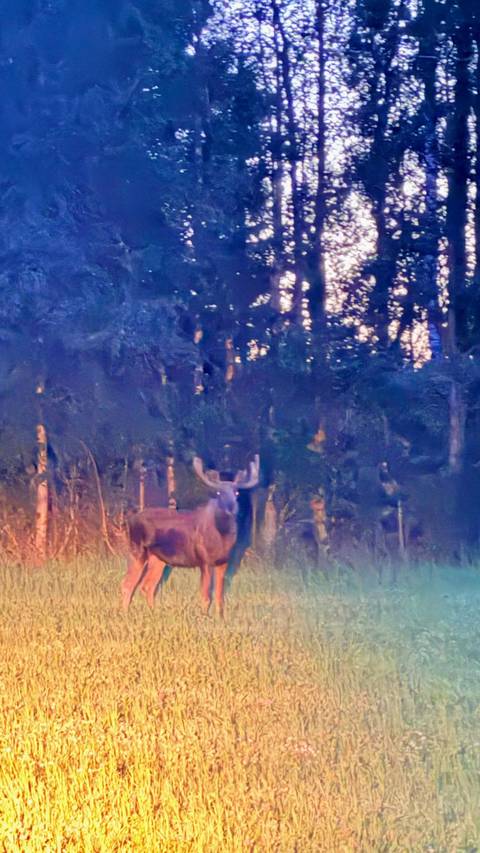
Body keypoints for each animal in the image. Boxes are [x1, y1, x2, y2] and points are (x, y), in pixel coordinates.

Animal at [121, 455, 260, 617]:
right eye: (218, 493)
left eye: (237, 493)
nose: (231, 508)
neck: (222, 538)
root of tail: (129, 521)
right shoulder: (204, 560)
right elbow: (206, 596)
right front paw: (204, 617)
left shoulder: (223, 562)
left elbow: (220, 597)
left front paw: (220, 618)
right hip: (137, 550)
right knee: (127, 584)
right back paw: (124, 613)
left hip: (158, 558)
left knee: (147, 586)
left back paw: (153, 613)